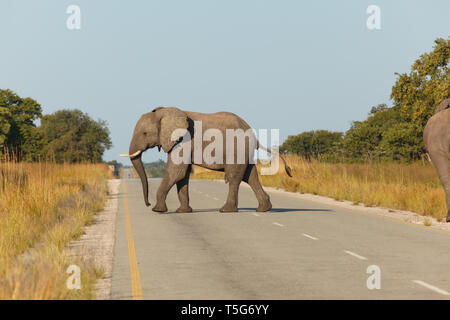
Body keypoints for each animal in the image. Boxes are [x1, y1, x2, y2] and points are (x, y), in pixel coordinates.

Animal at [122, 106, 292, 214]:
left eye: (144, 133)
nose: (147, 203)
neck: (164, 112)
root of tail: (254, 135)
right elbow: (182, 176)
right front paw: (183, 212)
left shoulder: (183, 139)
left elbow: (176, 172)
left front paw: (157, 210)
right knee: (250, 176)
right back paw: (264, 209)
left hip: (238, 148)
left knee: (234, 177)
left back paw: (226, 210)